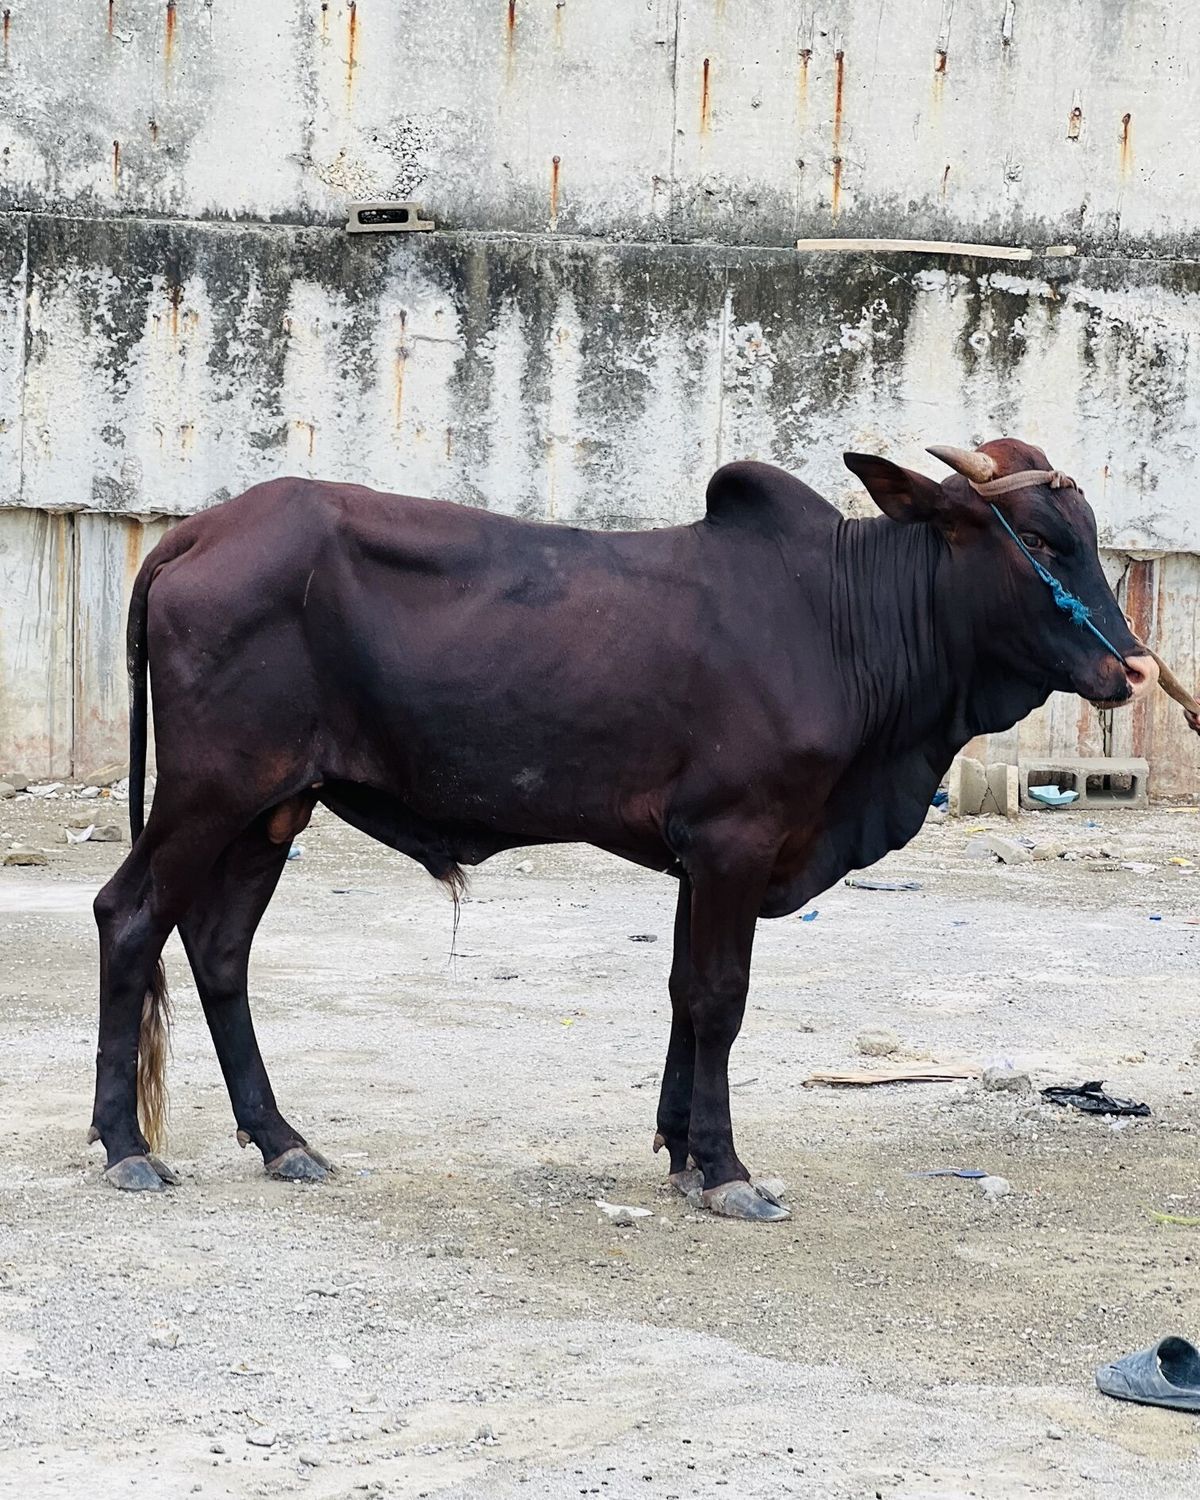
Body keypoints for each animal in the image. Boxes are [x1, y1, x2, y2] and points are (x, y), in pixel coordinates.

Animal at [89, 438, 1158, 1220]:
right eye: (1040, 541)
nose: (1134, 670)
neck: (842, 619)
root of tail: (194, 536)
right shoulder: (736, 837)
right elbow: (720, 998)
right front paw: (727, 1171)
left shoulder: (701, 855)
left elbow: (684, 992)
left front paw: (682, 1152)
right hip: (210, 790)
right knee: (129, 917)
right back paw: (126, 1146)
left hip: (274, 805)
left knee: (219, 949)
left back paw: (283, 1140)